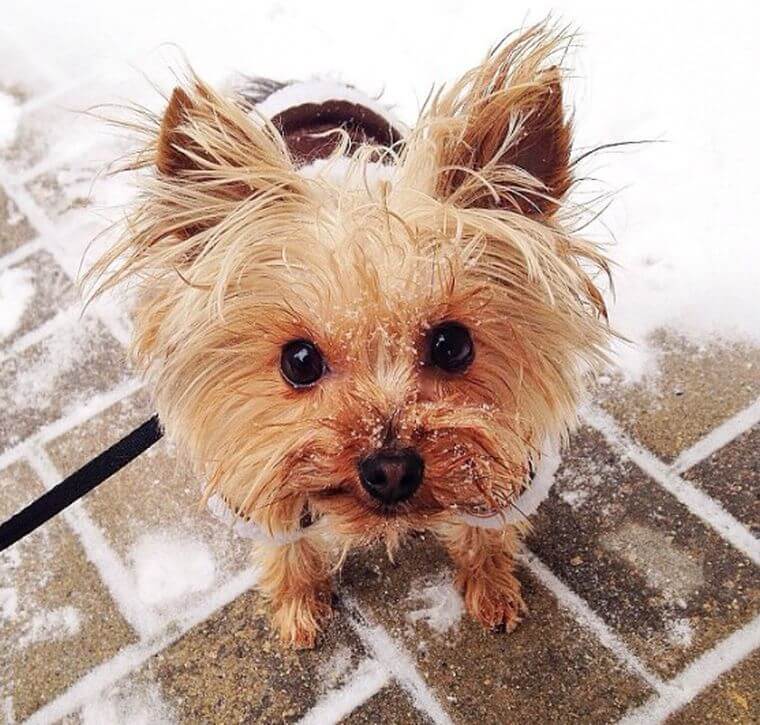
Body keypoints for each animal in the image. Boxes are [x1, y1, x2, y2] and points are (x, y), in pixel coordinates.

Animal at [89, 21, 612, 644]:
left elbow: (486, 530)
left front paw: (491, 588)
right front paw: (297, 607)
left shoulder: (513, 461)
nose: (390, 469)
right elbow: (284, 544)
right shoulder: (253, 466)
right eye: (299, 361)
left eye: (453, 345)